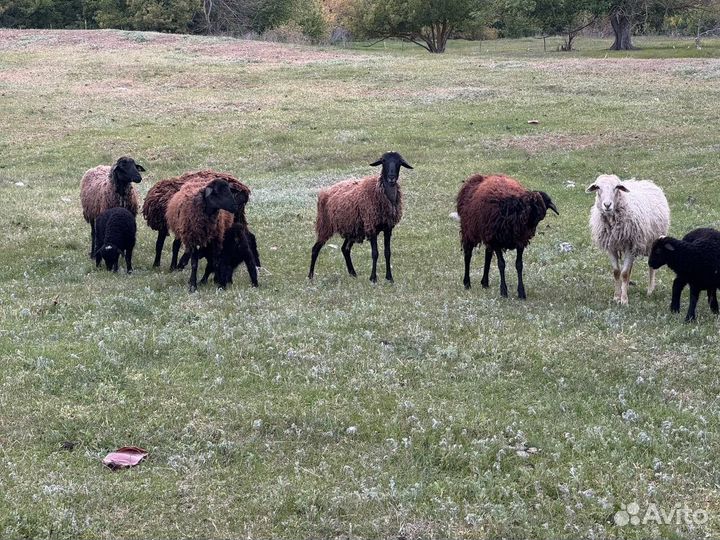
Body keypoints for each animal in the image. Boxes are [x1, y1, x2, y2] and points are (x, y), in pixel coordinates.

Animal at [308, 151, 413, 282]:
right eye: (383, 161)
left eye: (399, 162)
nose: (391, 177)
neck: (380, 192)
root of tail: (325, 192)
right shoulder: (371, 226)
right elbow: (375, 253)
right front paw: (373, 278)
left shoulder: (388, 228)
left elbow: (387, 252)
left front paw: (389, 278)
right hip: (325, 225)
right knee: (315, 249)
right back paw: (310, 276)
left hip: (352, 228)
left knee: (345, 249)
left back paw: (353, 273)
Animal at [587, 174, 670, 305]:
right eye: (598, 187)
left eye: (616, 187)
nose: (607, 205)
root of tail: (647, 182)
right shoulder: (611, 247)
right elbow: (617, 272)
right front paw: (617, 297)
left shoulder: (630, 245)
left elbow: (624, 274)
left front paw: (624, 300)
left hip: (652, 241)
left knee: (651, 267)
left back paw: (650, 290)